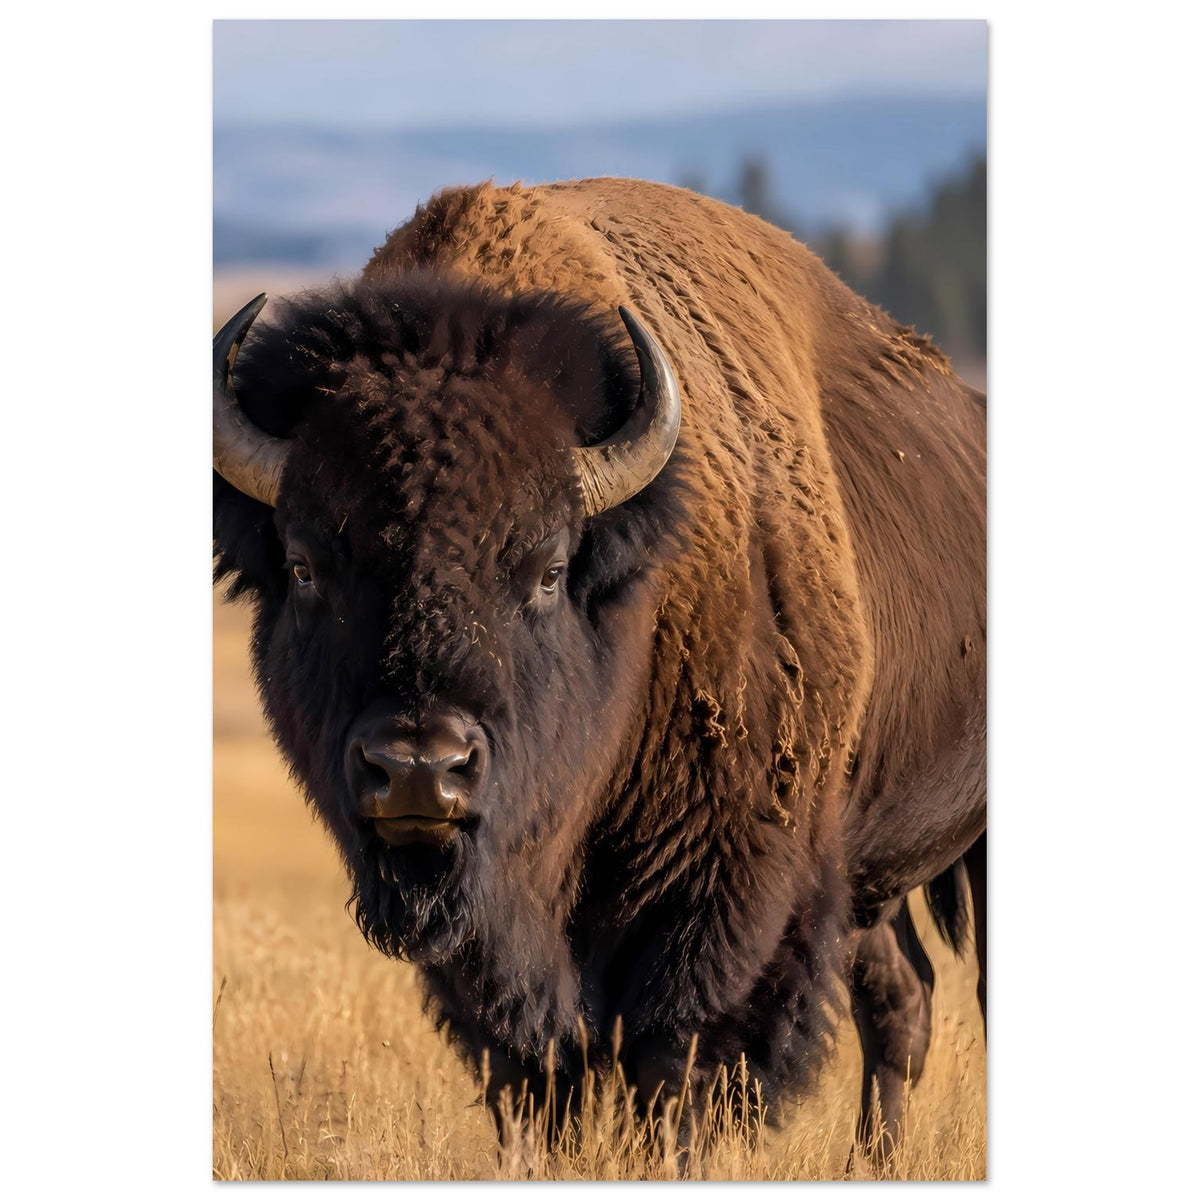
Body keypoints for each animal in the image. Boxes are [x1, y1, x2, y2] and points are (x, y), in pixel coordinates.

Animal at [213, 178, 986, 1161]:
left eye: (546, 568)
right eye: (306, 566)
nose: (421, 770)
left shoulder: (723, 894)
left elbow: (677, 1065)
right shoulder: (495, 941)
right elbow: (538, 1070)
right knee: (901, 994)